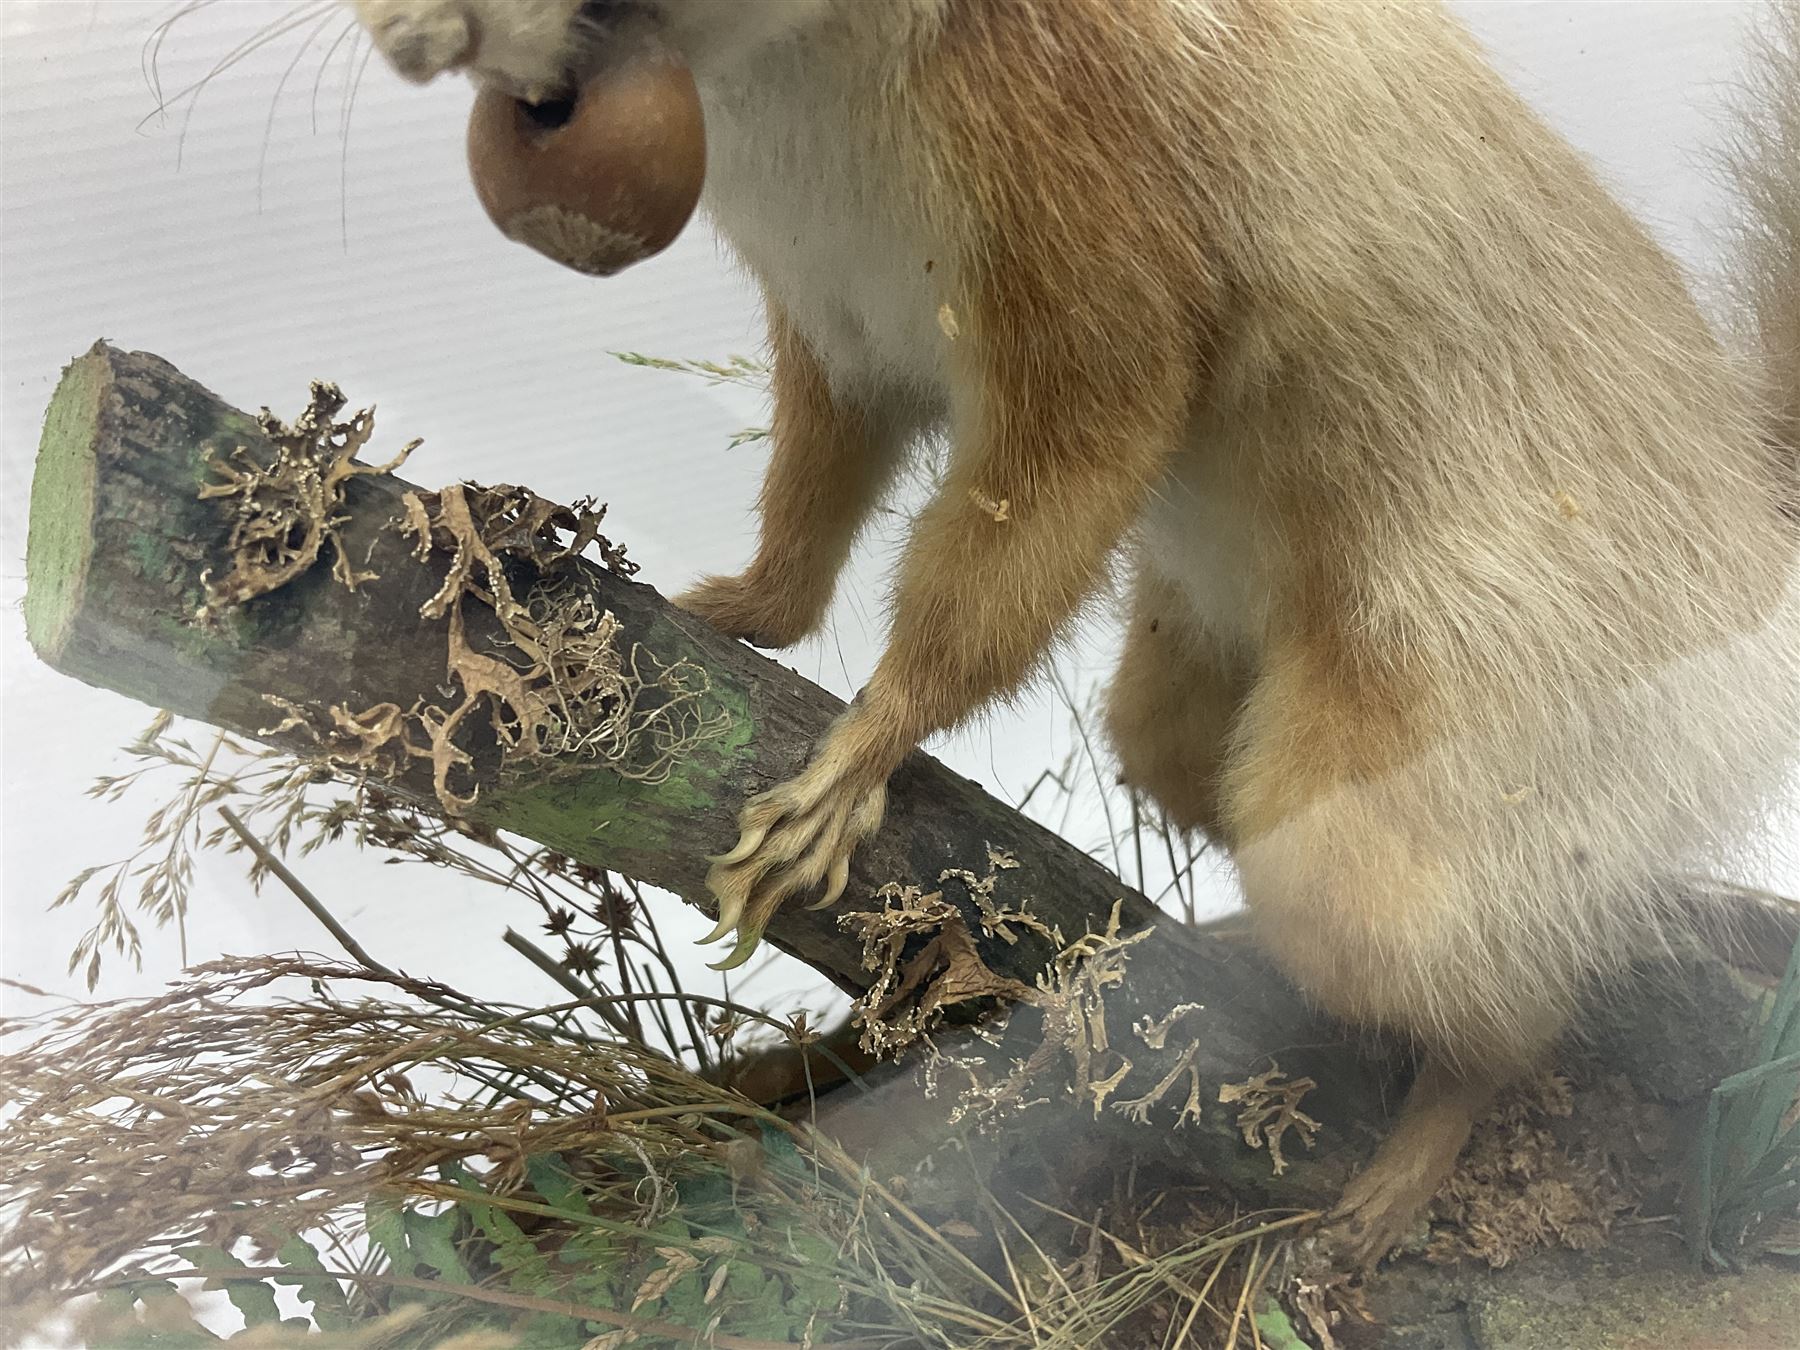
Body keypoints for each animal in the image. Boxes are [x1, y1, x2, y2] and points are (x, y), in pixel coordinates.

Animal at [355, 0, 1800, 1268]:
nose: (412, 42)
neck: (789, 102)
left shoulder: (1081, 219)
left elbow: (1042, 498)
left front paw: (850, 770)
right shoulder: (834, 311)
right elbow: (816, 486)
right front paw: (730, 603)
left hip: (1433, 744)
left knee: (1511, 982)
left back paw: (1411, 1158)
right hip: (1192, 686)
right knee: (1199, 771)